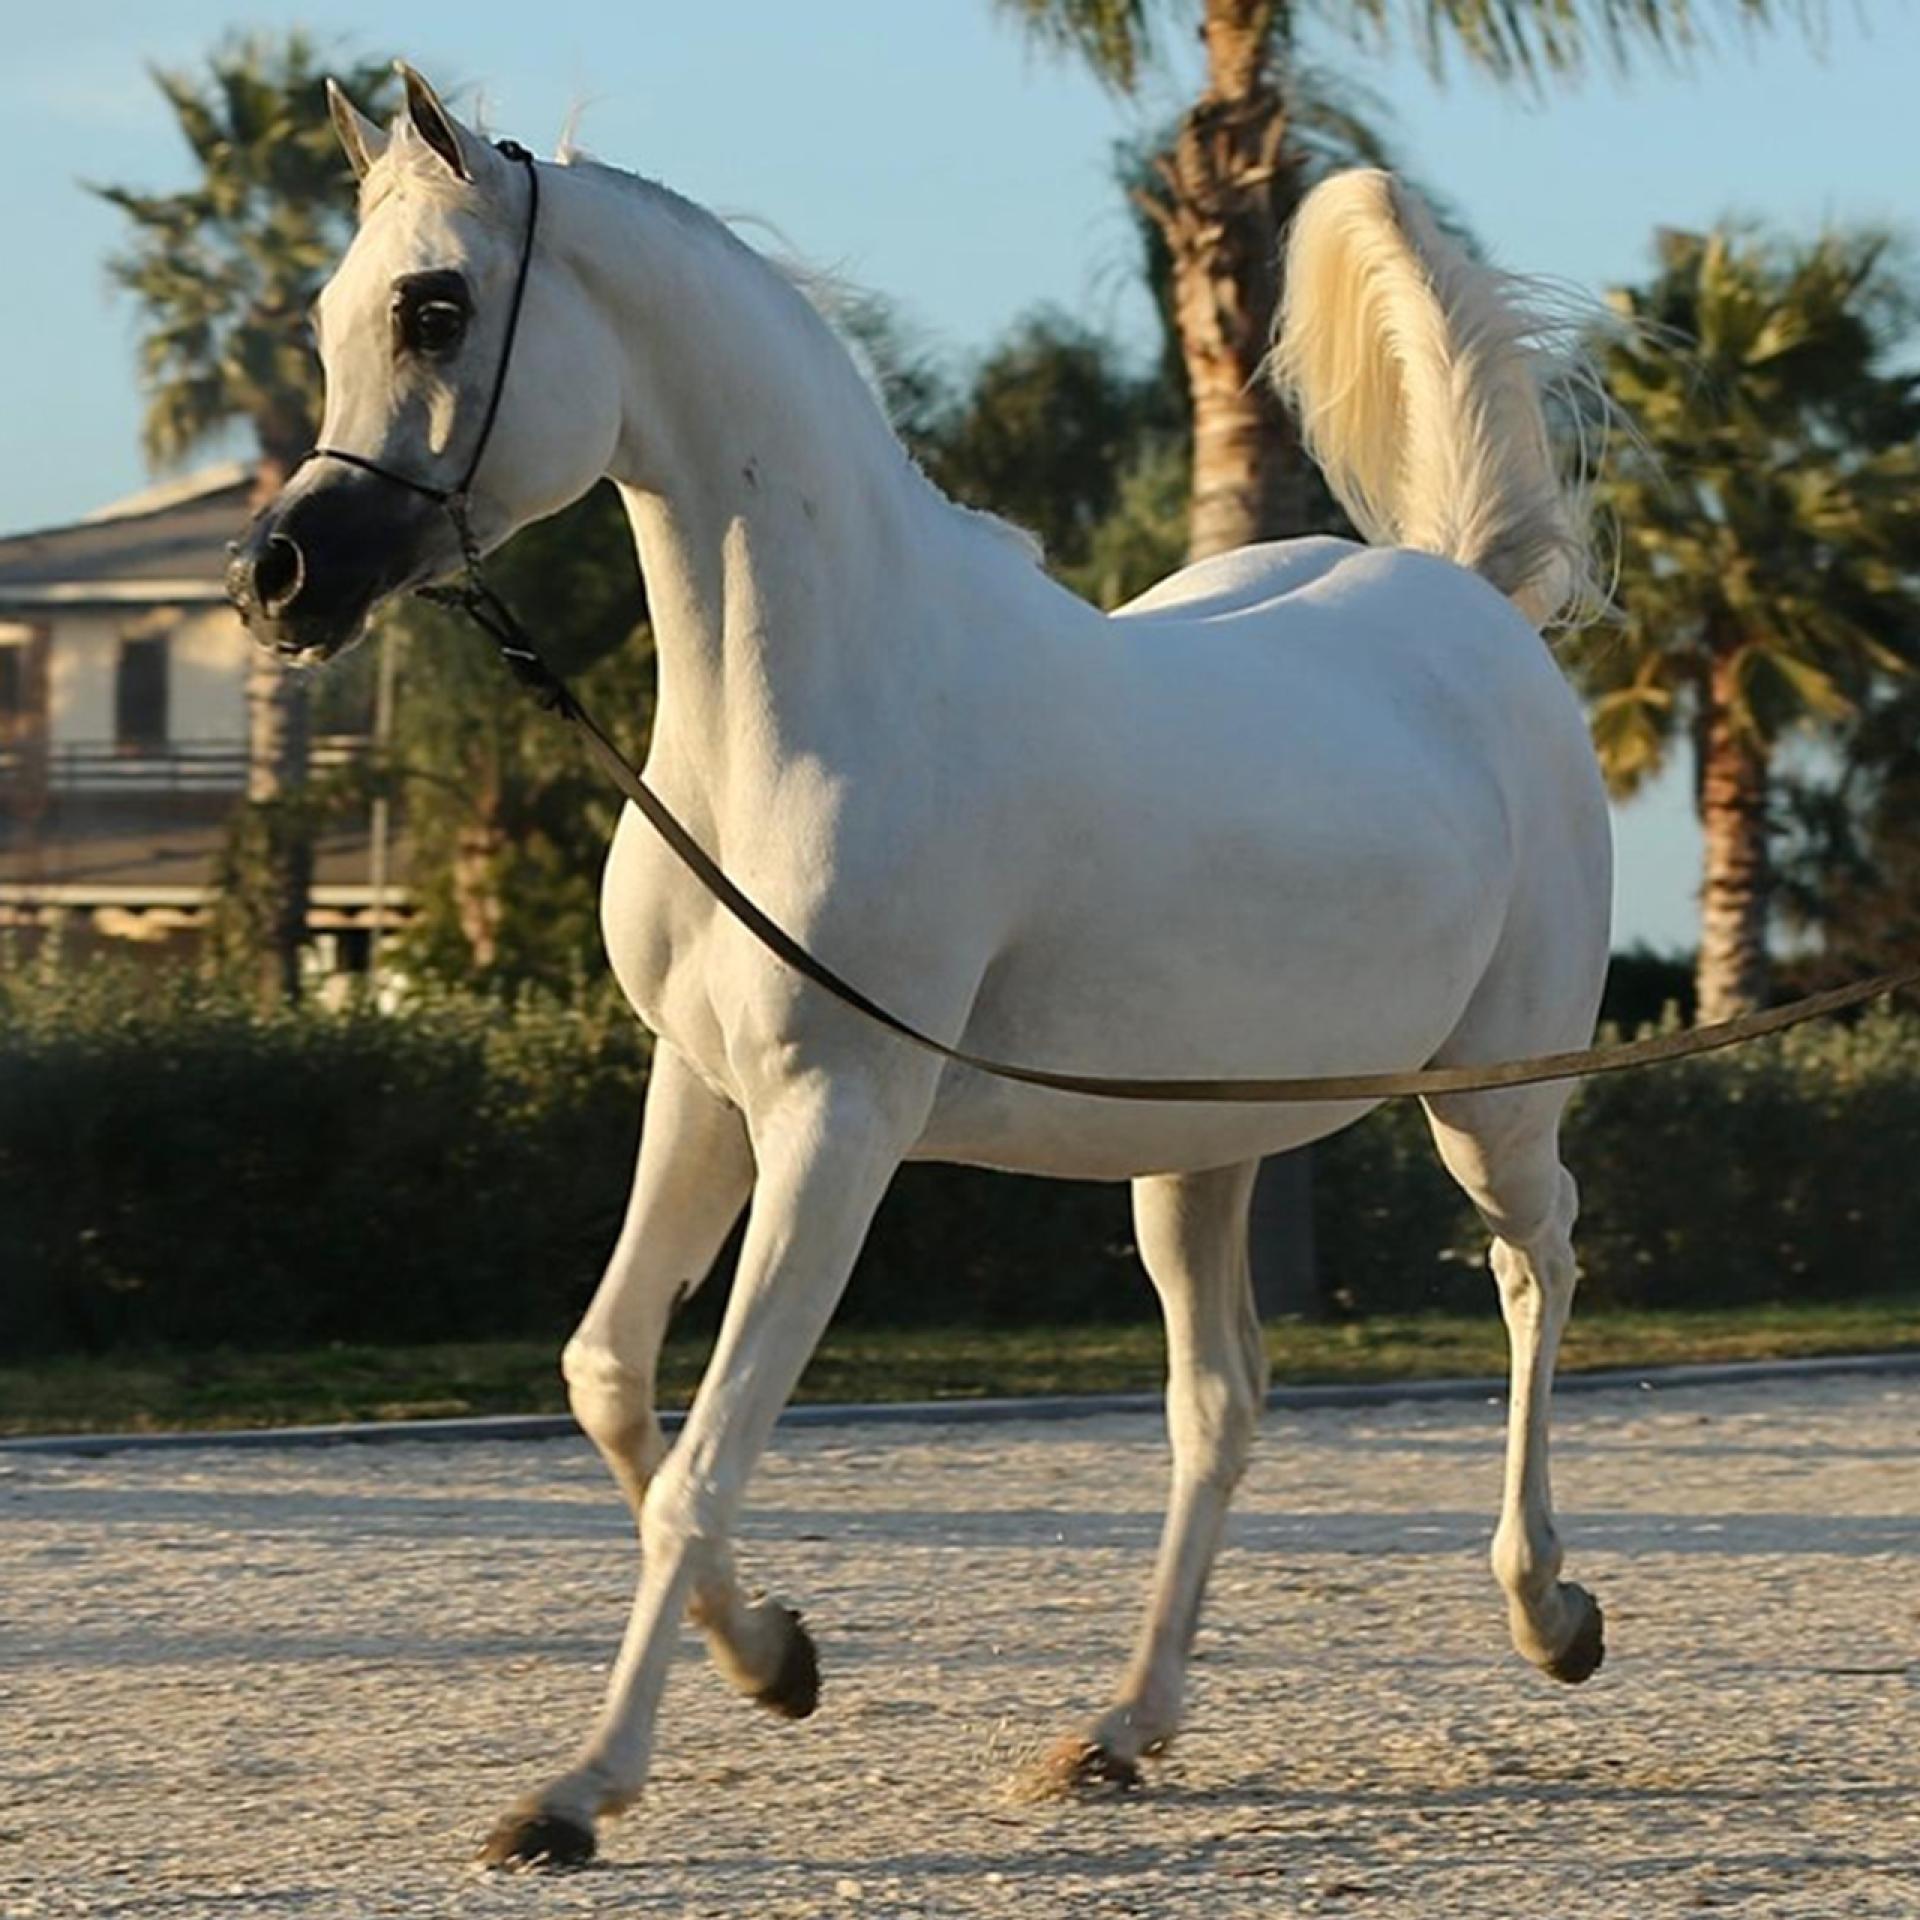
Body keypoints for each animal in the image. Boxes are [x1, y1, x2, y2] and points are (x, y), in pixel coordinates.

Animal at [227, 65, 1613, 1868]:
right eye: (334, 312)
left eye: (437, 306)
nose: (279, 579)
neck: (820, 708)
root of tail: (1473, 605)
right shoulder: (704, 1094)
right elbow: (609, 1378)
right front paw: (775, 1661)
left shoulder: (839, 1124)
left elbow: (707, 1454)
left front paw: (577, 1791)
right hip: (1193, 1151)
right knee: (1222, 1405)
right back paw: (1121, 1729)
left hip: (1490, 1105)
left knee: (1537, 1270)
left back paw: (1550, 1612)